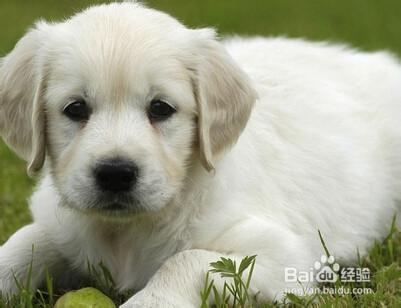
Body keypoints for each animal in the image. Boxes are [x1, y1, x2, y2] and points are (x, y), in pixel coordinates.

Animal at [0, 1, 400, 306]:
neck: (127, 231)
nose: (115, 173)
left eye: (161, 108)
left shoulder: (283, 253)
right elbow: (26, 241)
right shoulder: (61, 225)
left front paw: (148, 301)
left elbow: (185, 260)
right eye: (75, 109)